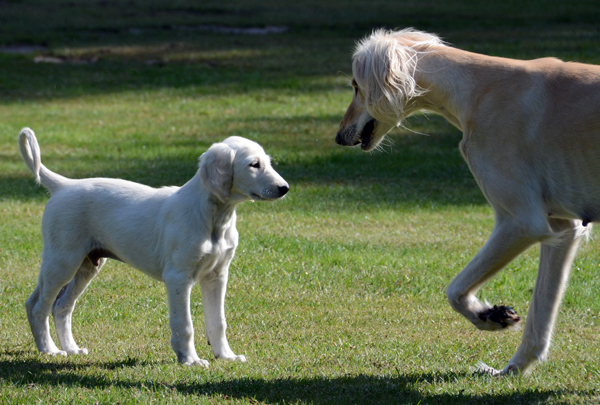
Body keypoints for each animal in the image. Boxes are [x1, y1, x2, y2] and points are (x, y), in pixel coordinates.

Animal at [336, 29, 596, 376]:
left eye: (355, 85)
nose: (338, 136)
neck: (476, 89)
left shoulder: (521, 222)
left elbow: (454, 291)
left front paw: (488, 316)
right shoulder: (561, 228)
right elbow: (539, 320)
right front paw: (511, 369)